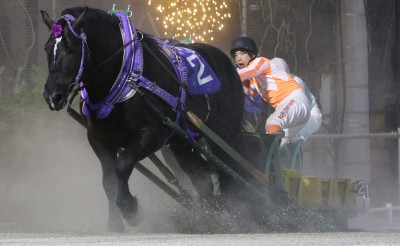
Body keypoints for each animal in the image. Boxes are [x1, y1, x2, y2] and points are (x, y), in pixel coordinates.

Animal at [42, 6, 245, 232]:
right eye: (47, 48)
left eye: (72, 48)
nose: (52, 96)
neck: (126, 77)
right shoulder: (99, 140)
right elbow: (109, 181)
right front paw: (115, 225)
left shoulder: (153, 134)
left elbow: (122, 165)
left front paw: (130, 209)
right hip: (183, 142)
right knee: (201, 177)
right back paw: (208, 220)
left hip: (225, 135)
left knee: (233, 174)